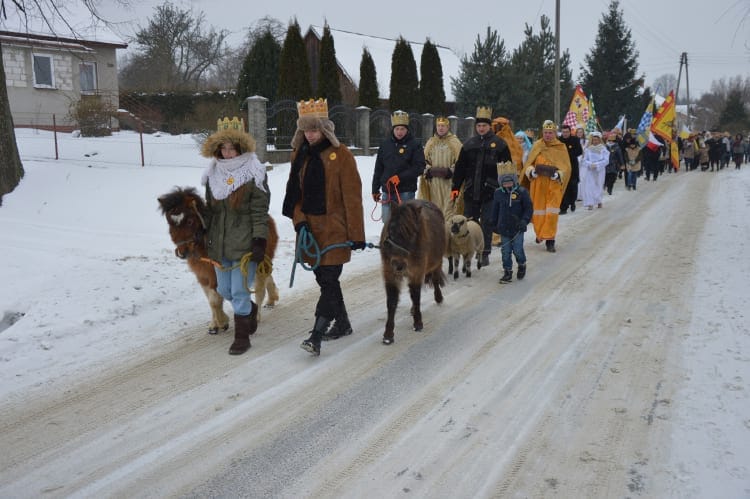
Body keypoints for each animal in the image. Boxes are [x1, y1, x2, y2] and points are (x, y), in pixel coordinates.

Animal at [157, 186, 280, 334]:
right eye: (170, 222)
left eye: (189, 221)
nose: (182, 253)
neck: (203, 248)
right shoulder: (203, 277)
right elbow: (211, 300)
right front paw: (215, 325)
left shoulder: (215, 276)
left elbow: (215, 300)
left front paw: (222, 323)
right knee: (268, 279)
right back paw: (271, 300)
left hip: (258, 265)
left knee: (260, 291)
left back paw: (257, 316)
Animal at [382, 198, 446, 344]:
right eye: (391, 230)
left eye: (412, 234)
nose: (398, 264)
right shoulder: (390, 273)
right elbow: (392, 301)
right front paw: (388, 334)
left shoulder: (417, 271)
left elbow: (416, 295)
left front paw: (418, 323)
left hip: (437, 262)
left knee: (435, 279)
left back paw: (438, 297)